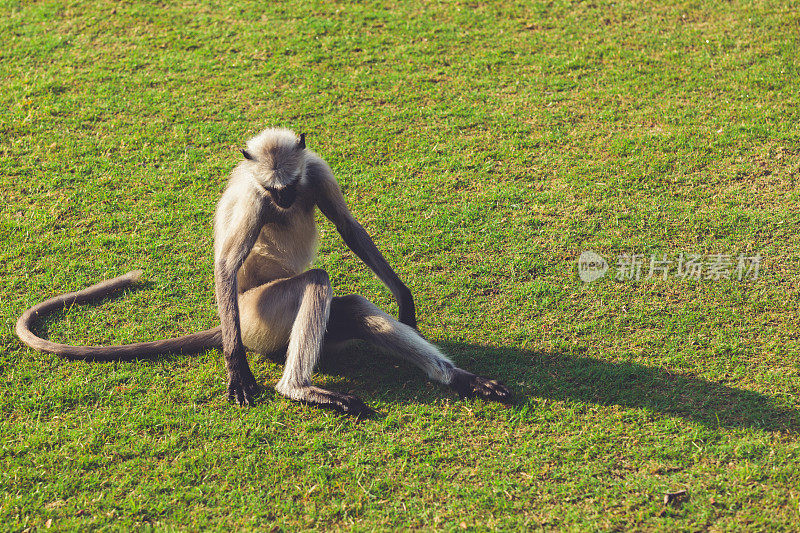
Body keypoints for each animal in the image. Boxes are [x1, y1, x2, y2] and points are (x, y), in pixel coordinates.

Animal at [15, 127, 510, 414]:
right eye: (275, 190)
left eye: (290, 185)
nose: (286, 200)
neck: (279, 192)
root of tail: (232, 322)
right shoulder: (255, 197)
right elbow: (226, 264)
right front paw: (237, 370)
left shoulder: (315, 169)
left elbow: (349, 228)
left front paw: (404, 298)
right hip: (257, 317)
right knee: (317, 282)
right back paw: (297, 388)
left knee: (351, 305)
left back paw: (459, 378)